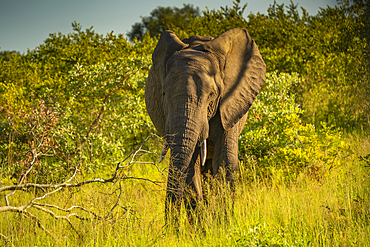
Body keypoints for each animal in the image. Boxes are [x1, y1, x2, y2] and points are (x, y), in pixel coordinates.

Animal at [145, 27, 266, 212]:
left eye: (211, 95)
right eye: (163, 93)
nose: (170, 221)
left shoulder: (230, 105)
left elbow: (225, 163)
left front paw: (221, 219)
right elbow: (191, 168)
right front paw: (203, 219)